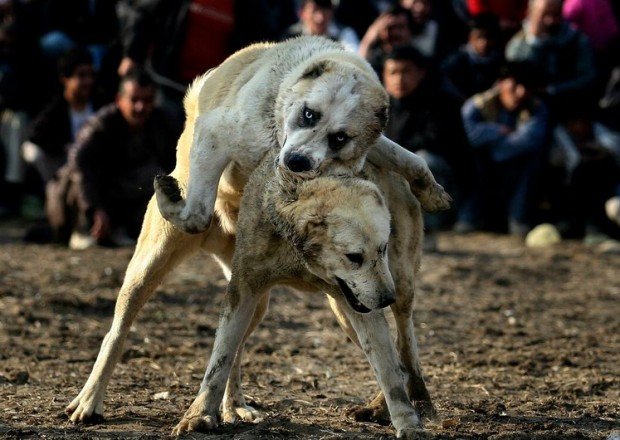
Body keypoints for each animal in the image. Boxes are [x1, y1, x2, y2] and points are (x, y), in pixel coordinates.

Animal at [154, 36, 450, 235]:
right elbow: (198, 215)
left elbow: (412, 160)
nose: (297, 161)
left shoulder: (370, 146)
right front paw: (170, 200)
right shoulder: (216, 132)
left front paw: (434, 195)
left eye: (339, 138)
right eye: (309, 114)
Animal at [165, 151, 431, 438]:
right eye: (354, 257)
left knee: (404, 349)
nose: (385, 299)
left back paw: (402, 402)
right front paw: (199, 416)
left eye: (381, 249)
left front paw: (408, 424)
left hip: (397, 288)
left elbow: (388, 371)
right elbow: (220, 357)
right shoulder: (244, 290)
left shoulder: (366, 307)